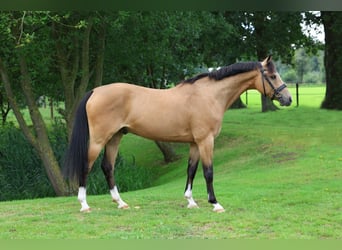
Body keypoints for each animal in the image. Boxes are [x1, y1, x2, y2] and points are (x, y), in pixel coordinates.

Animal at [63, 56, 292, 213]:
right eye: (272, 76)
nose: (288, 99)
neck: (209, 95)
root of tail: (95, 91)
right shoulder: (206, 141)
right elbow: (208, 172)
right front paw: (215, 203)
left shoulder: (194, 143)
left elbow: (191, 170)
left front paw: (190, 201)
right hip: (98, 140)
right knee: (87, 166)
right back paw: (84, 204)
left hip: (115, 137)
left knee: (107, 167)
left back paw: (120, 202)